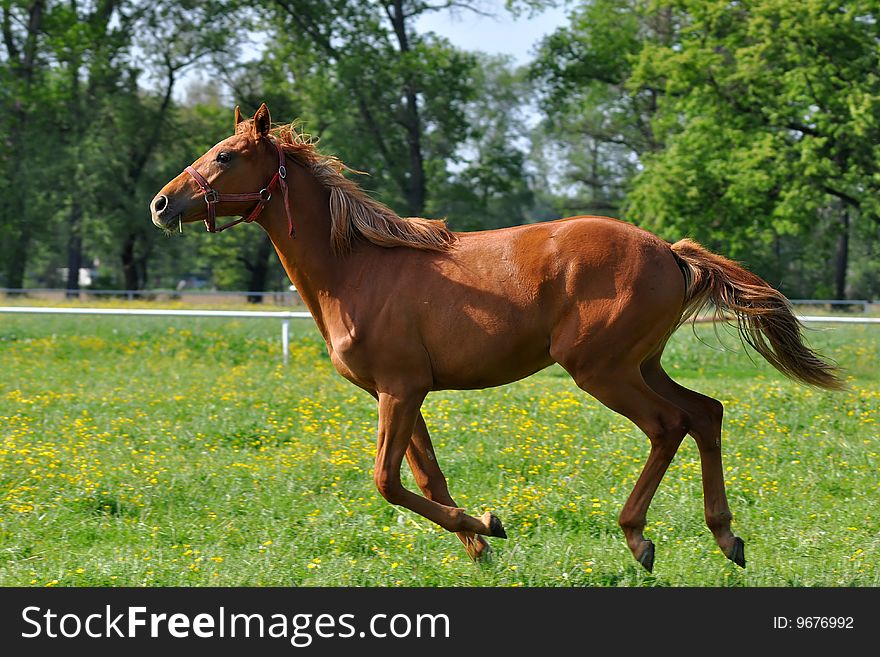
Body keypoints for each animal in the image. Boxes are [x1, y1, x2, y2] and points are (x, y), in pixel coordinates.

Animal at [153, 105, 844, 572]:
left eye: (224, 155)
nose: (162, 204)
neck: (357, 268)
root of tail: (670, 252)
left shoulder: (399, 389)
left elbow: (386, 481)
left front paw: (489, 523)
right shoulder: (401, 392)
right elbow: (425, 477)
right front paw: (480, 544)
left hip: (602, 369)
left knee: (668, 424)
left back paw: (639, 536)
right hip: (642, 363)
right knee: (706, 413)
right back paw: (727, 537)